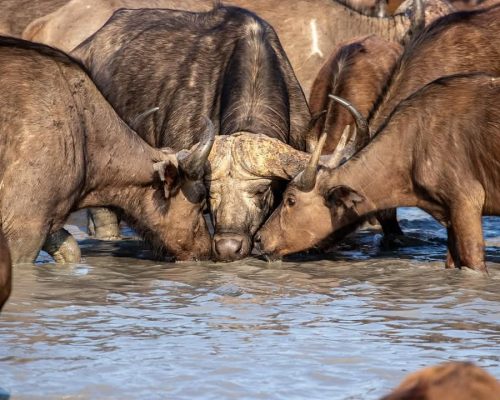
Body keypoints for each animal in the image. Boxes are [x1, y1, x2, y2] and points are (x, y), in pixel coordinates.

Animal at [0, 36, 213, 264]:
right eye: (201, 200)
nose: (206, 251)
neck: (83, 129)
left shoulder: (50, 223)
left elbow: (72, 251)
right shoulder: (25, 227)